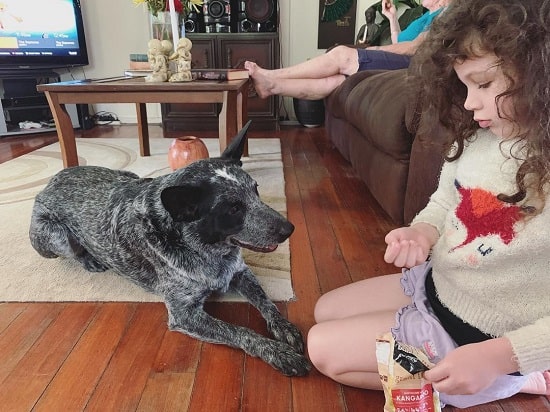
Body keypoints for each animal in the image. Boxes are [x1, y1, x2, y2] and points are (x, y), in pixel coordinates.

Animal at [29, 120, 310, 376]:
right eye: (233, 208)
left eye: (256, 190)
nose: (289, 229)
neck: (206, 249)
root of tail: (53, 179)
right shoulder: (184, 314)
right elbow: (241, 331)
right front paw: (278, 353)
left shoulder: (240, 271)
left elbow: (267, 301)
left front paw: (283, 326)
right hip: (55, 236)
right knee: (73, 249)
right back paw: (89, 259)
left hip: (128, 176)